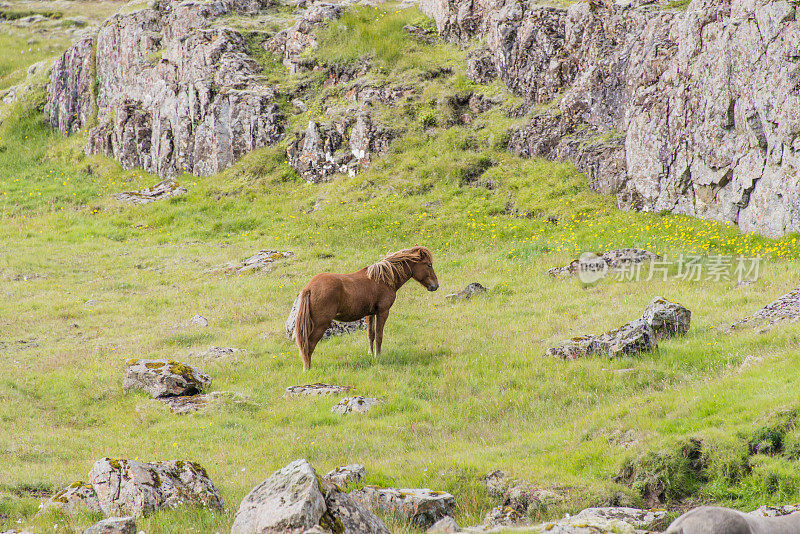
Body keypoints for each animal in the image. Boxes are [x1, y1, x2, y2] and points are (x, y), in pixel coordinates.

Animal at [296, 247, 438, 372]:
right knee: (308, 345)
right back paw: (307, 368)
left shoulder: (370, 314)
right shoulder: (382, 312)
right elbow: (379, 335)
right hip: (321, 324)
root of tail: (309, 288)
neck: (383, 279)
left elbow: (371, 335)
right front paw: (378, 356)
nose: (435, 285)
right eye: (428, 265)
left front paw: (371, 354)